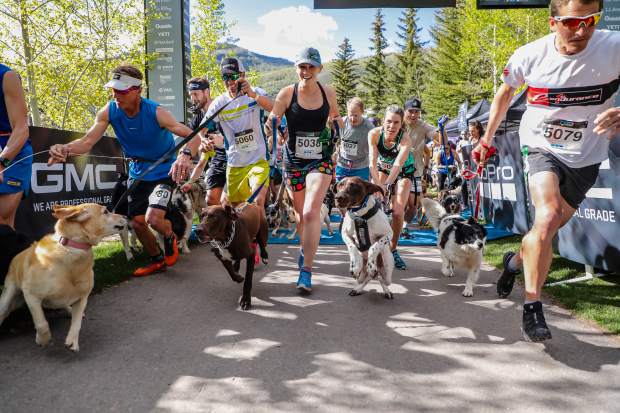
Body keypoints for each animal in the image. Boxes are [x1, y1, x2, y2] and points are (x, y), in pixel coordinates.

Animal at [0, 204, 126, 350]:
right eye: (105, 211)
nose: (125, 215)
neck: (71, 253)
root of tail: (17, 256)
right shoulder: (31, 295)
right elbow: (41, 323)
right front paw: (43, 339)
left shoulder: (82, 298)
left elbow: (77, 323)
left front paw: (72, 341)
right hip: (8, 298)